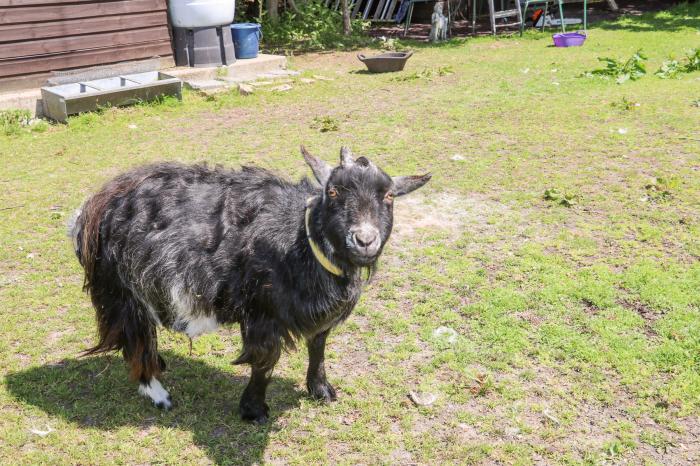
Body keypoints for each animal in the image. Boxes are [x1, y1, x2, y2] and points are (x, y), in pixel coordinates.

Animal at [72, 147, 432, 424]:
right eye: (333, 191)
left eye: (388, 196)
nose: (364, 240)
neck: (302, 240)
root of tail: (93, 207)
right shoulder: (263, 313)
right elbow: (264, 361)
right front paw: (254, 410)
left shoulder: (319, 317)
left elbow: (318, 348)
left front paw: (321, 391)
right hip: (123, 290)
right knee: (134, 338)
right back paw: (159, 393)